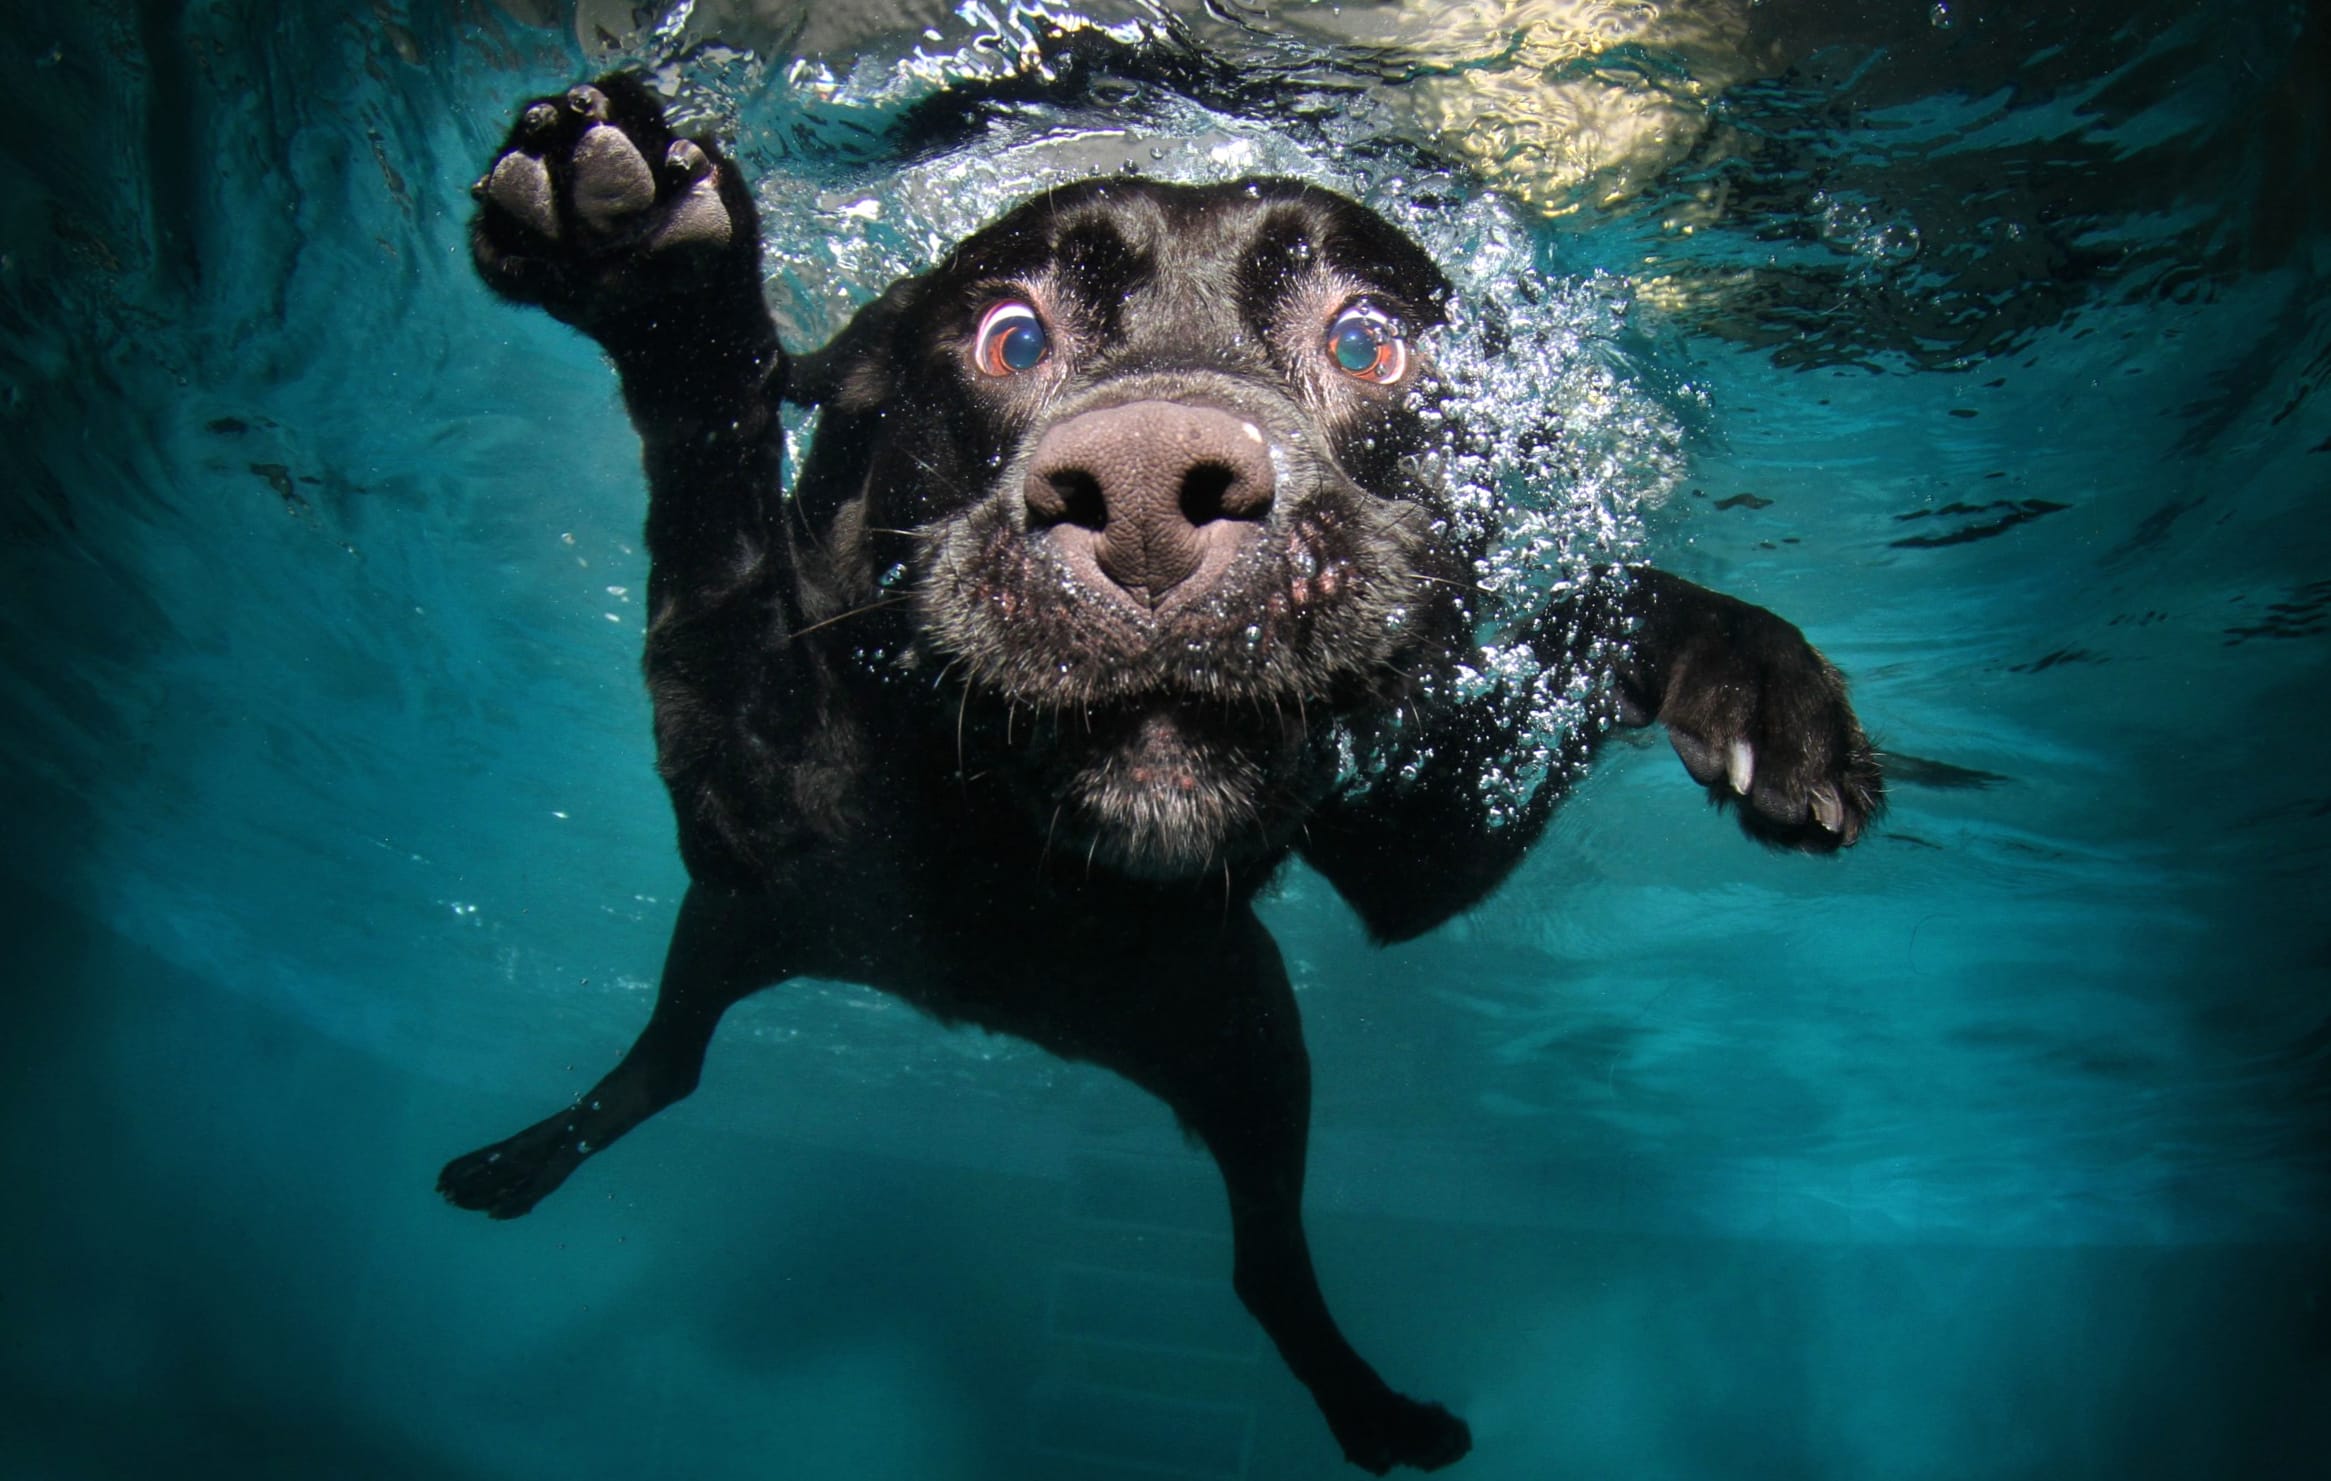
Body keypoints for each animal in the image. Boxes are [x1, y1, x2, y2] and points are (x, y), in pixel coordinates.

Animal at [438, 75, 1883, 1474]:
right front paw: (655, 273)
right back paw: (522, 1160)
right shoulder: (750, 799)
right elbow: (716, 539)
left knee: (1261, 1263)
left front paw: (1751, 676)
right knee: (670, 1062)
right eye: (1010, 339)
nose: (1140, 493)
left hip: (1244, 1038)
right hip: (744, 927)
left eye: (1364, 341)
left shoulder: (1418, 844)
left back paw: (1374, 1411)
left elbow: (1592, 610)